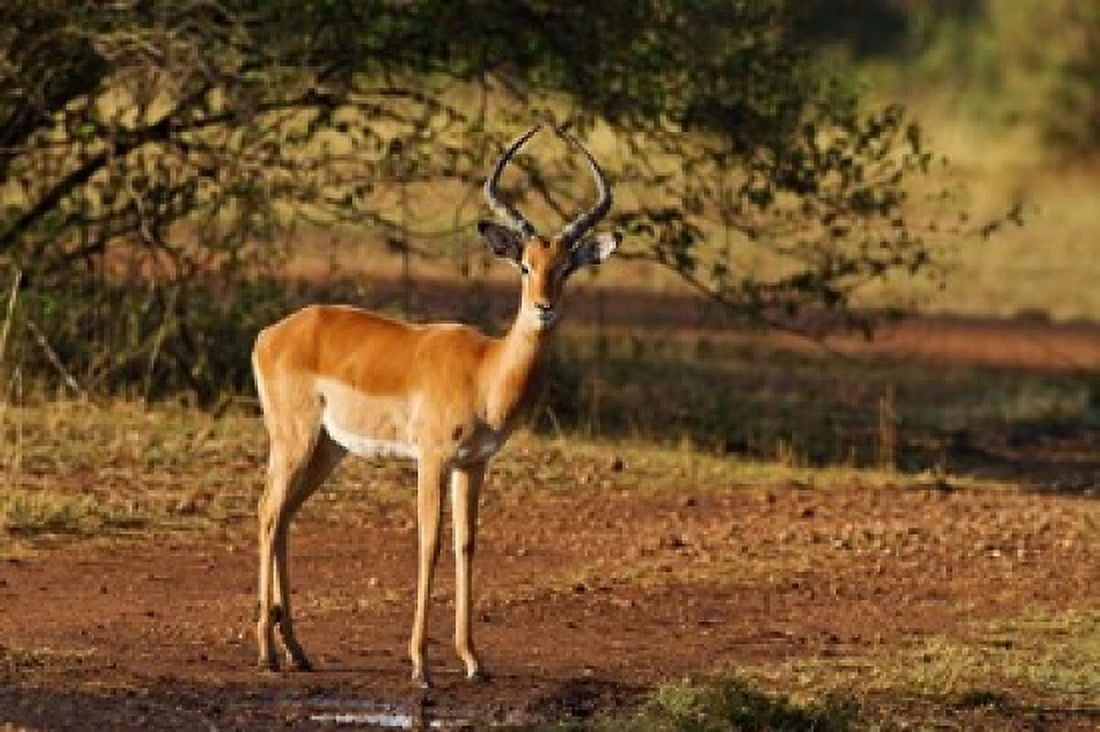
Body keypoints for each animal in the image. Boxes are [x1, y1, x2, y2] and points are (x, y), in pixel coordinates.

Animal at [251, 125, 619, 687]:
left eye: (564, 269)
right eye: (525, 265)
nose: (543, 307)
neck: (485, 371)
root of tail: (273, 333)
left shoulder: (474, 464)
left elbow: (467, 544)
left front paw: (473, 660)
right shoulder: (431, 459)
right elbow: (431, 543)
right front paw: (421, 665)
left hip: (327, 450)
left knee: (286, 516)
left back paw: (297, 650)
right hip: (294, 440)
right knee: (269, 512)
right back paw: (267, 653)